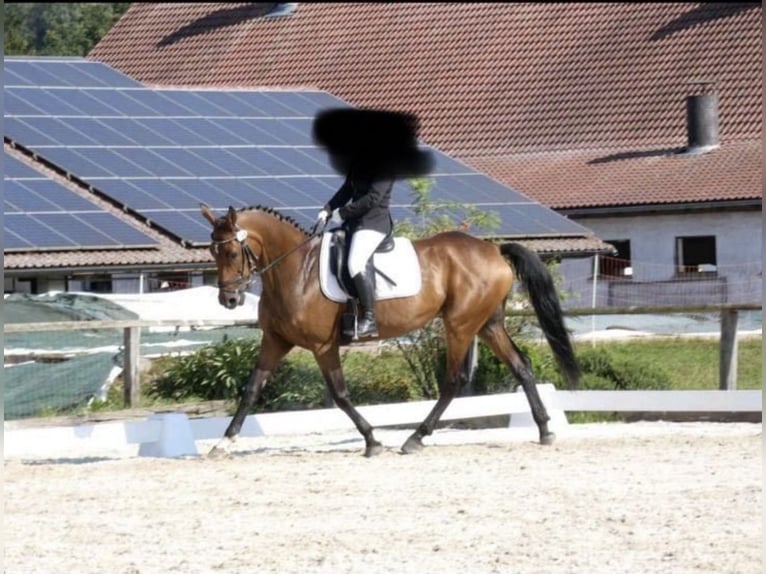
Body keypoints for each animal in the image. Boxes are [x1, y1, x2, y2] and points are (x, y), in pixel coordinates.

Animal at [200, 204, 580, 457]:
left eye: (231, 252)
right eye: (213, 253)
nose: (228, 299)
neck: (295, 271)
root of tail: (493, 249)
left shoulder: (323, 346)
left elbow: (340, 394)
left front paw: (372, 440)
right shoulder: (275, 341)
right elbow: (251, 389)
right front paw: (223, 442)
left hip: (459, 324)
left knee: (454, 380)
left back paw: (416, 438)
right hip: (487, 324)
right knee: (520, 366)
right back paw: (545, 429)